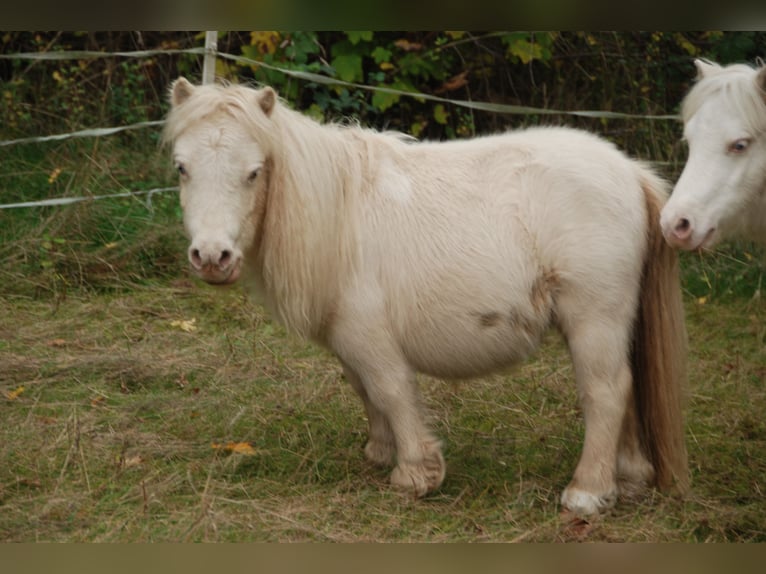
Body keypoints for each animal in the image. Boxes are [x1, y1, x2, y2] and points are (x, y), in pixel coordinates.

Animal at [162, 77, 689, 516]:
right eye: (182, 168)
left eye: (254, 172)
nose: (211, 257)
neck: (338, 212)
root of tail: (631, 173)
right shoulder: (347, 340)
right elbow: (364, 391)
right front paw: (379, 453)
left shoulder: (370, 336)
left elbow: (390, 391)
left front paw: (415, 472)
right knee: (625, 389)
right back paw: (627, 479)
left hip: (594, 320)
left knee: (606, 391)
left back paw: (588, 492)